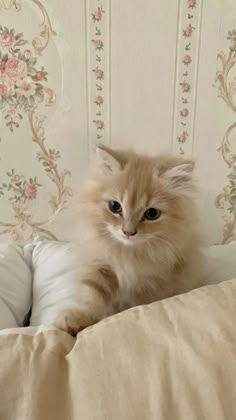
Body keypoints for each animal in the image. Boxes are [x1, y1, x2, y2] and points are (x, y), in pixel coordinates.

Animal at [54, 144, 205, 334]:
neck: (127, 254)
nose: (128, 232)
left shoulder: (152, 282)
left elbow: (138, 306)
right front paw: (79, 318)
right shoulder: (100, 264)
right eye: (115, 206)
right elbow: (92, 294)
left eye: (152, 213)